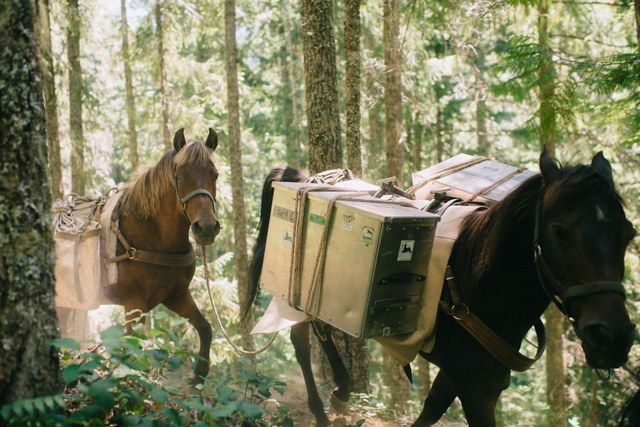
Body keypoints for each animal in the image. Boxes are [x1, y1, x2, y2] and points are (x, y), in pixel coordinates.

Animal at [97, 128, 220, 383]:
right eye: (181, 176)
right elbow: (132, 347)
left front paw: (199, 375)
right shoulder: (134, 304)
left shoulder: (176, 295)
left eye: (215, 175)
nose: (206, 227)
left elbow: (205, 327)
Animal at [242, 149, 637, 426]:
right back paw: (328, 403)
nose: (612, 337)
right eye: (559, 230)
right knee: (303, 337)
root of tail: (307, 176)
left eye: (629, 233)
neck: (474, 283)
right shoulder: (476, 385)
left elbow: (429, 413)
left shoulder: (465, 375)